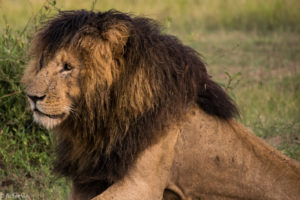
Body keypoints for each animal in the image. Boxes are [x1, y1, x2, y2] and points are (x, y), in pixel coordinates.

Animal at [22, 9, 300, 200]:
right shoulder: (89, 179)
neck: (104, 118)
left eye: (68, 67)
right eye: (43, 61)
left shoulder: (143, 183)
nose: (31, 97)